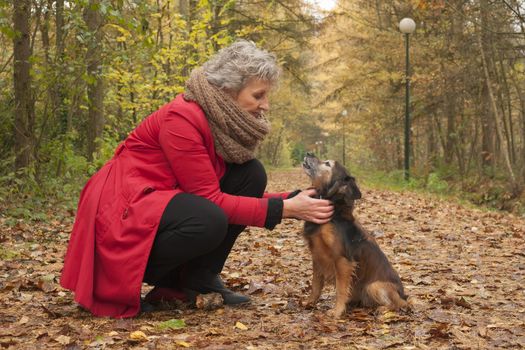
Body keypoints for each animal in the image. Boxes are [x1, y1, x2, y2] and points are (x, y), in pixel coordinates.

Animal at [300, 153, 408, 318]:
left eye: (327, 163)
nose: (309, 153)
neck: (334, 212)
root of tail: (403, 296)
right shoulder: (317, 256)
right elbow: (316, 285)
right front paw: (310, 302)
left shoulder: (342, 260)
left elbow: (341, 289)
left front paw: (337, 311)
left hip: (374, 286)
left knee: (398, 304)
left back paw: (383, 309)